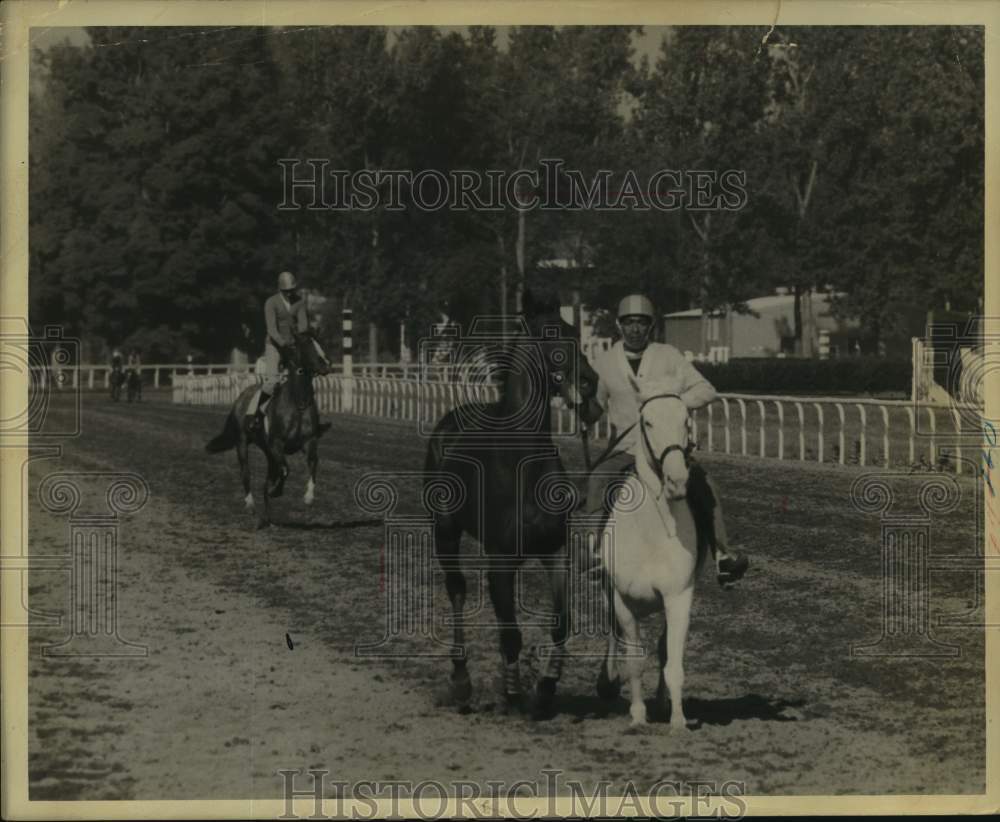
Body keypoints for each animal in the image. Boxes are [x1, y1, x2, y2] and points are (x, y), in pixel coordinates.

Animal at [207, 330, 332, 528]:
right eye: (306, 345)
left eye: (319, 343)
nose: (326, 365)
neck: (298, 403)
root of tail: (240, 399)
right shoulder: (277, 444)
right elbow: (285, 469)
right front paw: (276, 491)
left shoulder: (309, 441)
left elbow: (313, 464)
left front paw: (308, 497)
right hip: (242, 442)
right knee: (246, 473)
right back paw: (250, 505)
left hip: (267, 451)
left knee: (267, 478)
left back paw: (268, 517)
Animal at [424, 292, 596, 716]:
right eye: (549, 335)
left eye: (574, 332)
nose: (590, 383)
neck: (522, 463)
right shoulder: (500, 558)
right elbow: (511, 632)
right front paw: (514, 692)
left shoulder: (555, 551)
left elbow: (560, 622)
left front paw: (546, 687)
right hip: (445, 533)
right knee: (457, 589)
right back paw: (461, 680)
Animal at [596, 376, 708, 732]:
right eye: (648, 421)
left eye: (686, 421)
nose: (676, 480)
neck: (651, 532)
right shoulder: (623, 599)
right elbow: (634, 660)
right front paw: (637, 715)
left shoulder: (679, 596)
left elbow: (672, 662)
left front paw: (677, 720)